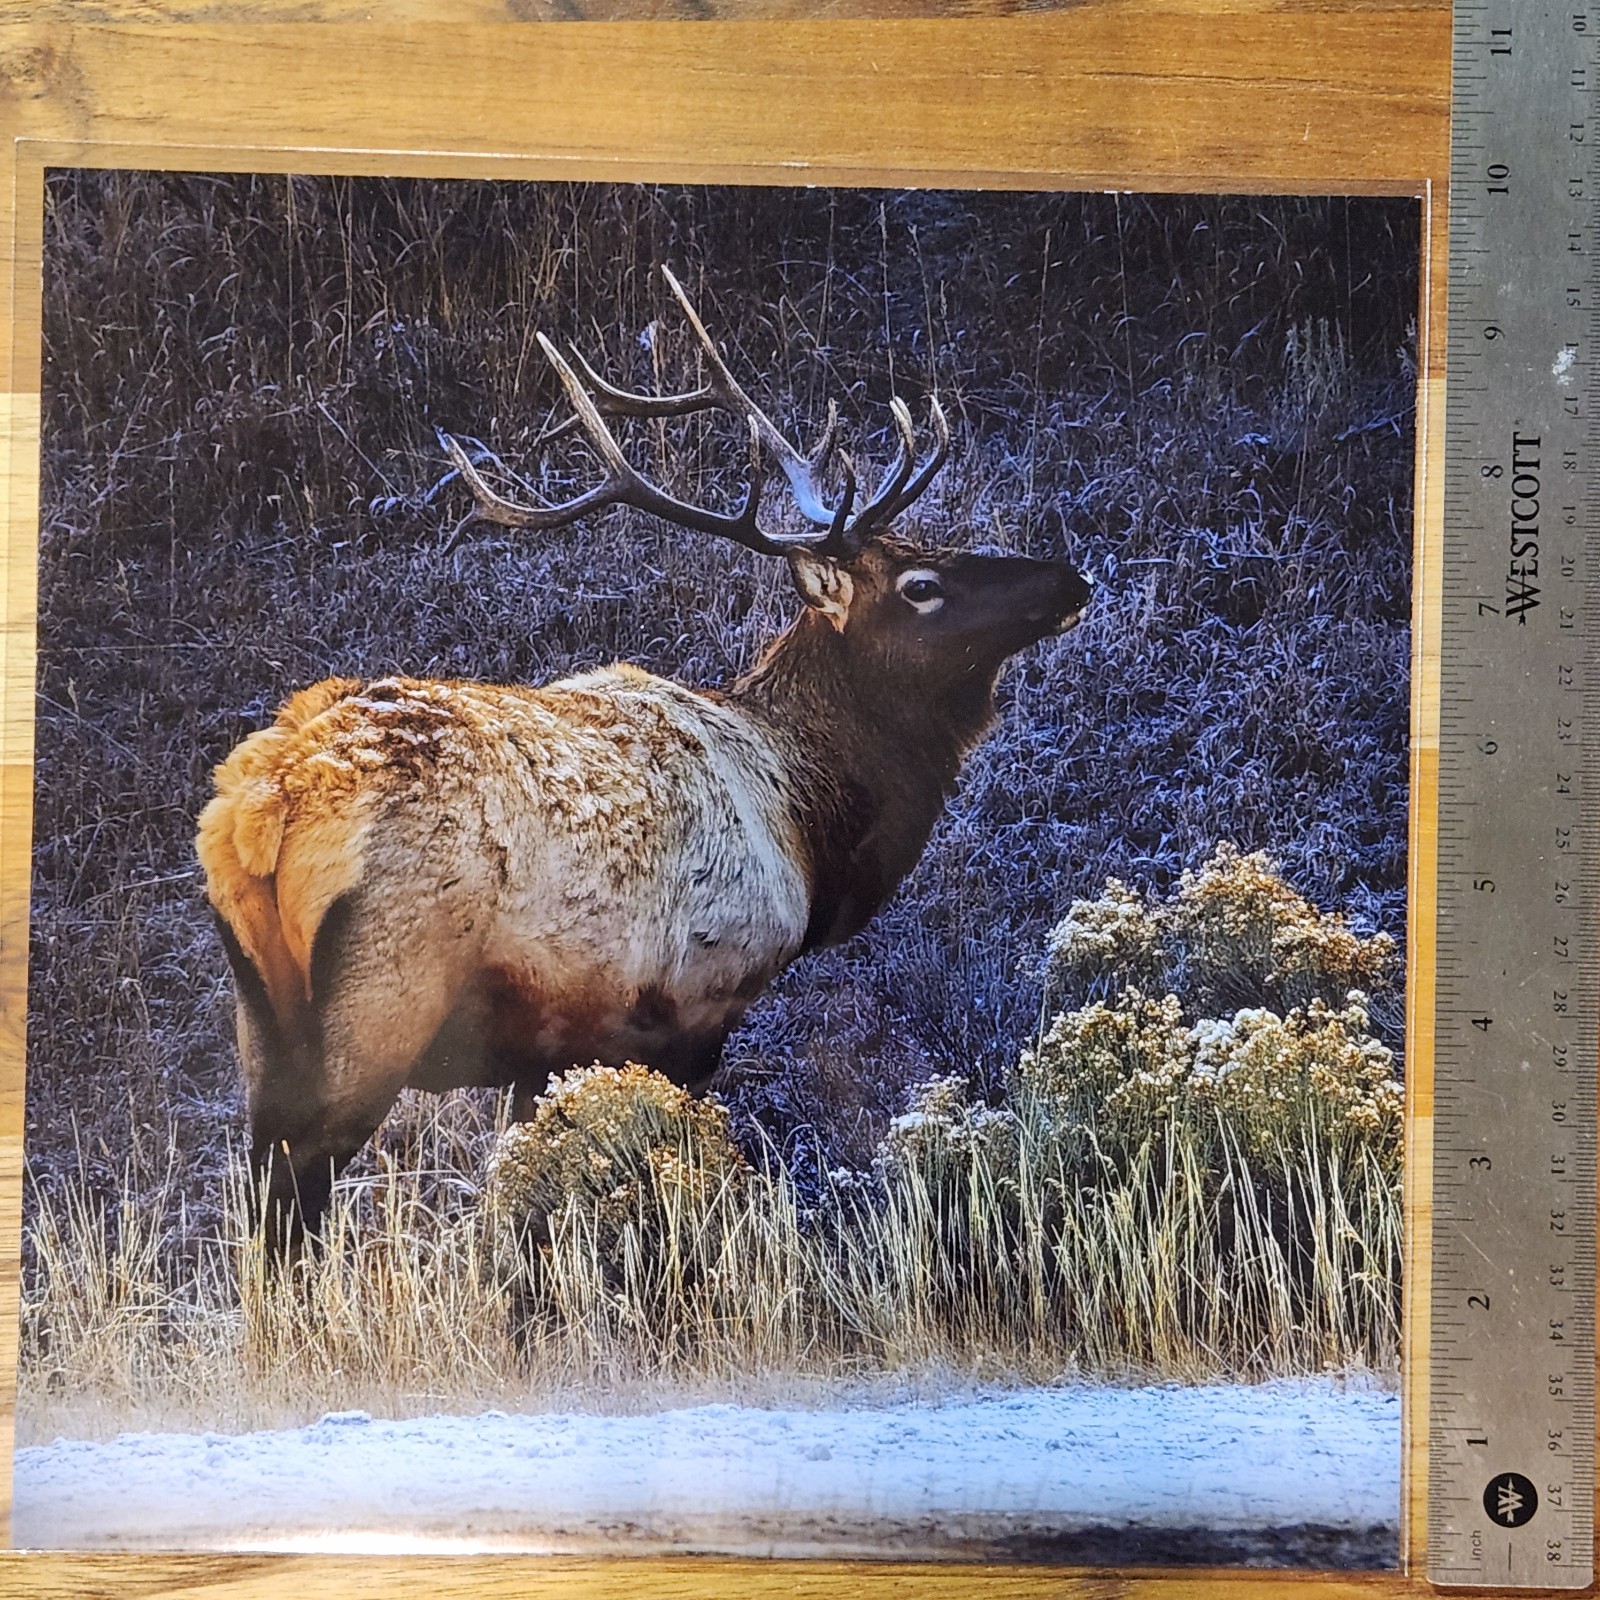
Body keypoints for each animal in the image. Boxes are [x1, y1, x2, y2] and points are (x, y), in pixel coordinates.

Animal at [197, 267, 1093, 1247]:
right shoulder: (699, 1003)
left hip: (260, 1017)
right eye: (921, 587)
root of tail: (262, 803)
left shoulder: (549, 1050)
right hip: (379, 995)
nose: (1070, 577)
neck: (812, 829)